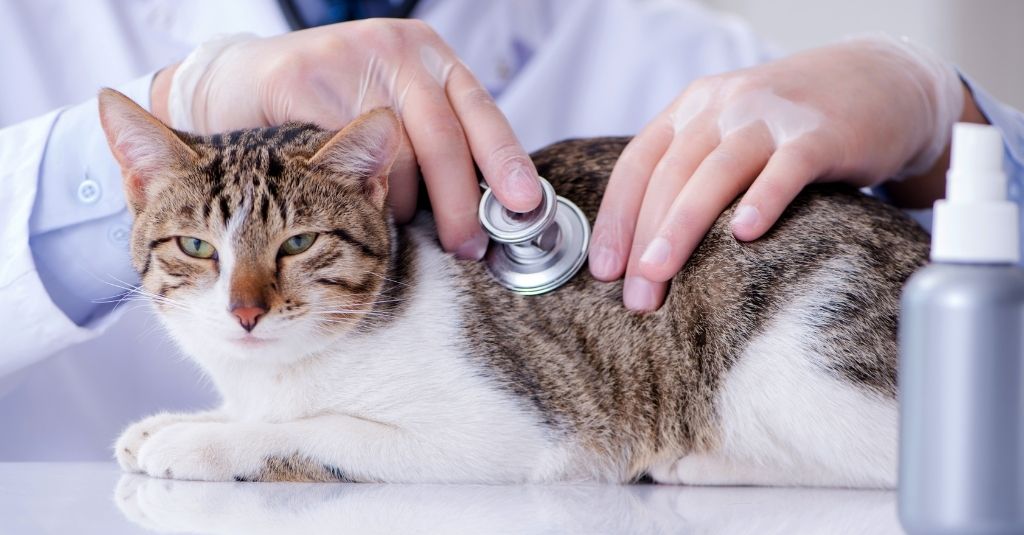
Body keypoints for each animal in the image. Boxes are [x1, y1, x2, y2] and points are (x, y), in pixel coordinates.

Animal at [99, 88, 933, 487]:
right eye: (197, 247)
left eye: (298, 243)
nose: (244, 311)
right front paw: (181, 418)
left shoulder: (504, 431)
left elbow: (317, 429)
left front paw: (203, 438)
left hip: (790, 365)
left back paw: (704, 461)